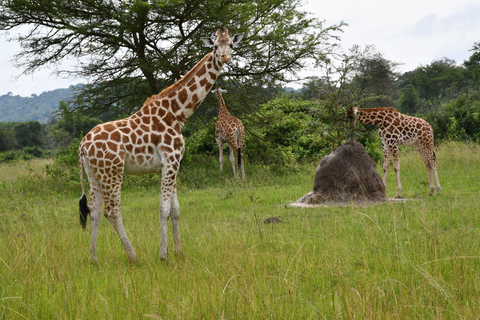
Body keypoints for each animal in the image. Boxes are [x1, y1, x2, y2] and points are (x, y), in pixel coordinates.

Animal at [78, 28, 244, 262]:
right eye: (214, 46)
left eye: (231, 44)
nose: (224, 57)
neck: (178, 114)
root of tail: (83, 144)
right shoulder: (170, 161)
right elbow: (164, 209)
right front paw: (163, 254)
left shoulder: (174, 164)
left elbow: (175, 210)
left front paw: (179, 251)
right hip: (113, 171)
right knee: (112, 211)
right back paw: (133, 256)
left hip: (94, 173)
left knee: (94, 210)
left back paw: (94, 259)